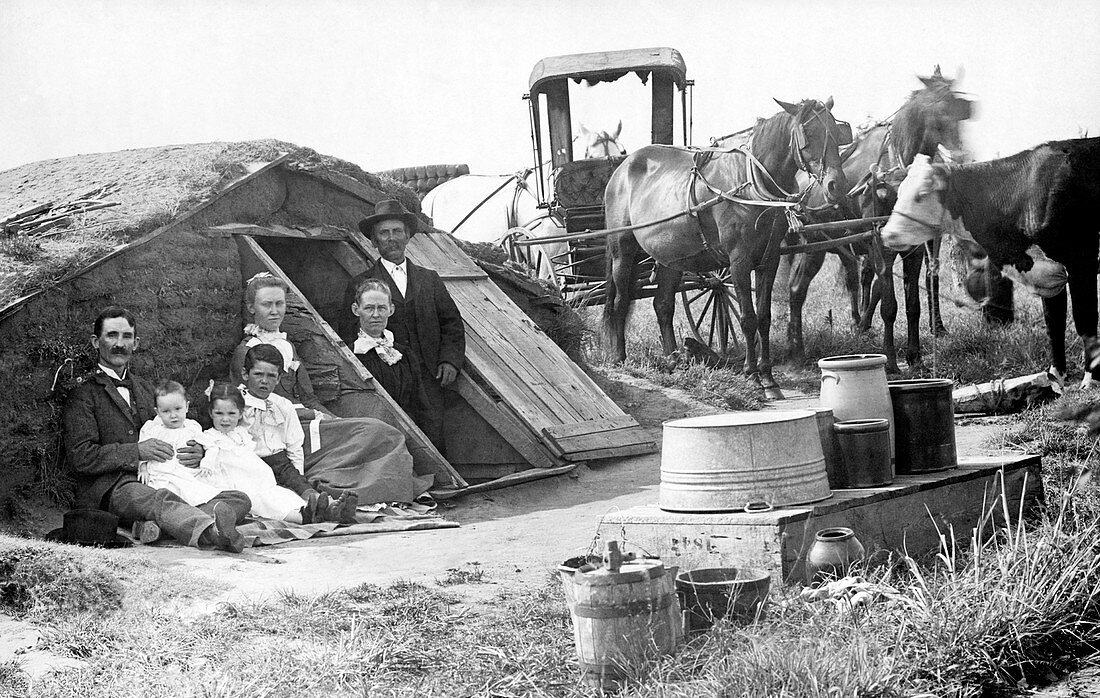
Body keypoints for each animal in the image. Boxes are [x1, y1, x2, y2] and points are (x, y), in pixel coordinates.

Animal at [602, 96, 849, 397]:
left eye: (835, 133)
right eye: (809, 135)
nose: (836, 185)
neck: (751, 185)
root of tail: (622, 169)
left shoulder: (769, 260)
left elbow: (764, 317)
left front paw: (769, 377)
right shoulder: (738, 262)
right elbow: (747, 318)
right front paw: (752, 375)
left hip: (671, 258)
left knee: (663, 305)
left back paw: (673, 359)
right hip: (622, 252)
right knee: (619, 302)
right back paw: (619, 358)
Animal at [880, 136, 1100, 386]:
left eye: (922, 193)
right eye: (899, 192)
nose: (887, 234)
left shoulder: (1082, 261)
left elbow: (1085, 321)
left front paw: (1090, 379)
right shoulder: (1047, 274)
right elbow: (1054, 323)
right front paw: (1055, 376)